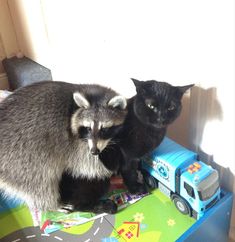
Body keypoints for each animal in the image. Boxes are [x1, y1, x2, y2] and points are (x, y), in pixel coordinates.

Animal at [0, 80, 126, 213]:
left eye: (105, 129)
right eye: (88, 128)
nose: (95, 151)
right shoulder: (72, 143)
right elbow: (87, 165)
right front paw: (113, 168)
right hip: (21, 161)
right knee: (41, 185)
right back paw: (52, 206)